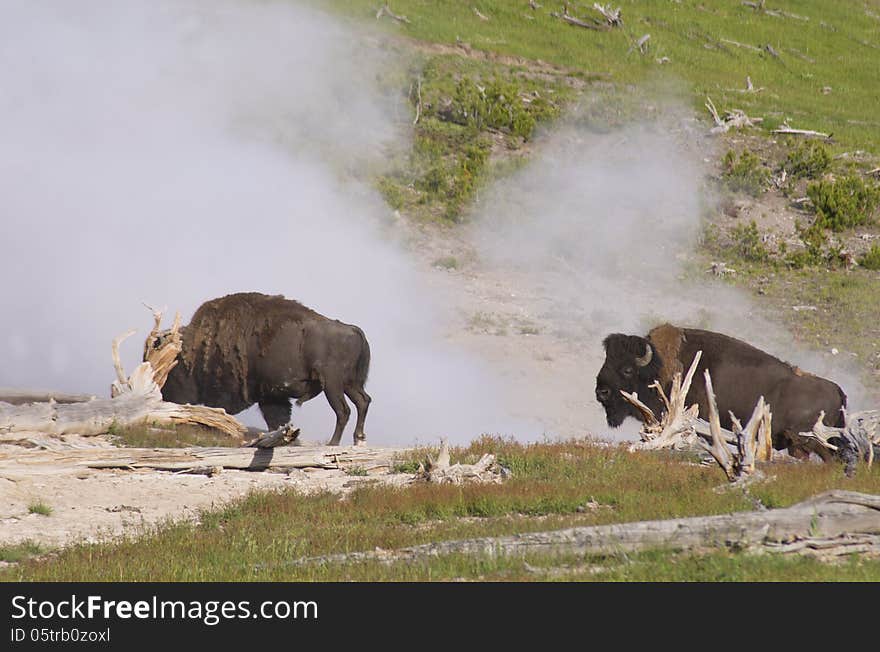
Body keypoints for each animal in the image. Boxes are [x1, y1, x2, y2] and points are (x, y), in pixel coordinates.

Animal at [150, 292, 370, 446]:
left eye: (173, 371)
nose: (162, 397)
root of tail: (352, 329)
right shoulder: (271, 397)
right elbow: (277, 420)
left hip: (332, 385)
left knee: (344, 410)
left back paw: (334, 443)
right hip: (349, 384)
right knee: (363, 401)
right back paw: (358, 438)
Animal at [596, 324, 848, 458]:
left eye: (627, 369)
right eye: (606, 361)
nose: (601, 392)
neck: (660, 366)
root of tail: (838, 390)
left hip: (806, 443)